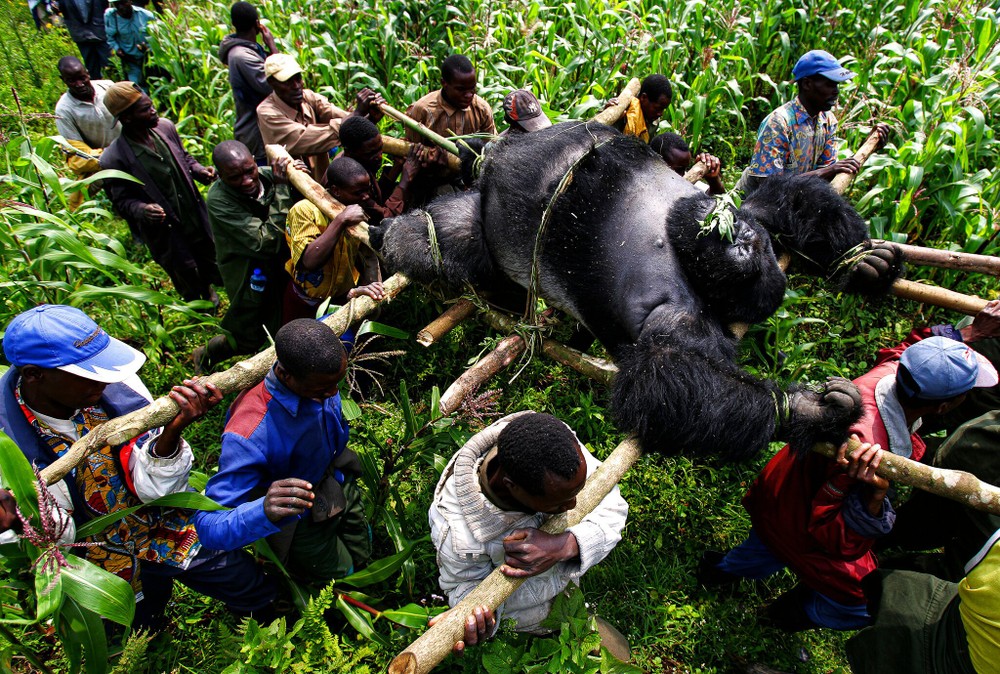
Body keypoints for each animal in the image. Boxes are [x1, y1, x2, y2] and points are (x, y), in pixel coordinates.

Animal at [374, 122, 900, 456]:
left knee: (447, 236)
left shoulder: (684, 308)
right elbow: (786, 197)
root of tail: (492, 158)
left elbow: (662, 379)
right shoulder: (733, 217)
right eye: (747, 246)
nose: (740, 243)